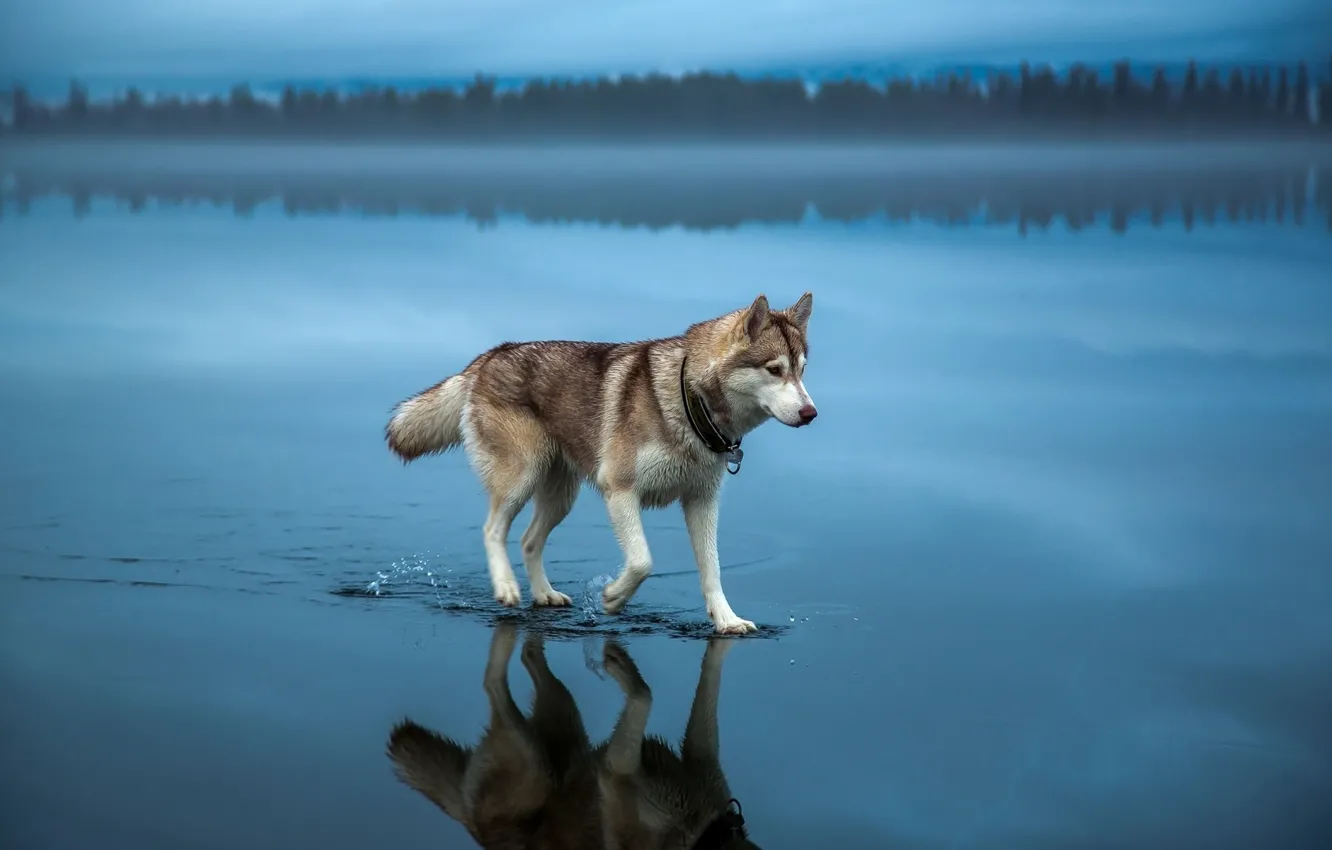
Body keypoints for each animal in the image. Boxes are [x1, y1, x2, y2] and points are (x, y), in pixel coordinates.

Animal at [386, 293, 815, 634]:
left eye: (802, 370)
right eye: (774, 369)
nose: (811, 413)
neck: (689, 401)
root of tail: (489, 355)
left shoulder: (702, 502)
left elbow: (712, 570)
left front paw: (727, 621)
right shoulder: (620, 490)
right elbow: (642, 561)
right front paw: (612, 597)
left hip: (561, 496)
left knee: (528, 541)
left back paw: (544, 594)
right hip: (520, 478)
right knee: (493, 529)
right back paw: (506, 587)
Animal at [388, 618, 761, 850]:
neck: (705, 833)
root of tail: (470, 825)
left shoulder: (700, 754)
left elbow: (709, 684)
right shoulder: (616, 771)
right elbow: (644, 695)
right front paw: (618, 665)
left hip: (564, 717)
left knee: (529, 656)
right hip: (533, 761)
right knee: (492, 683)